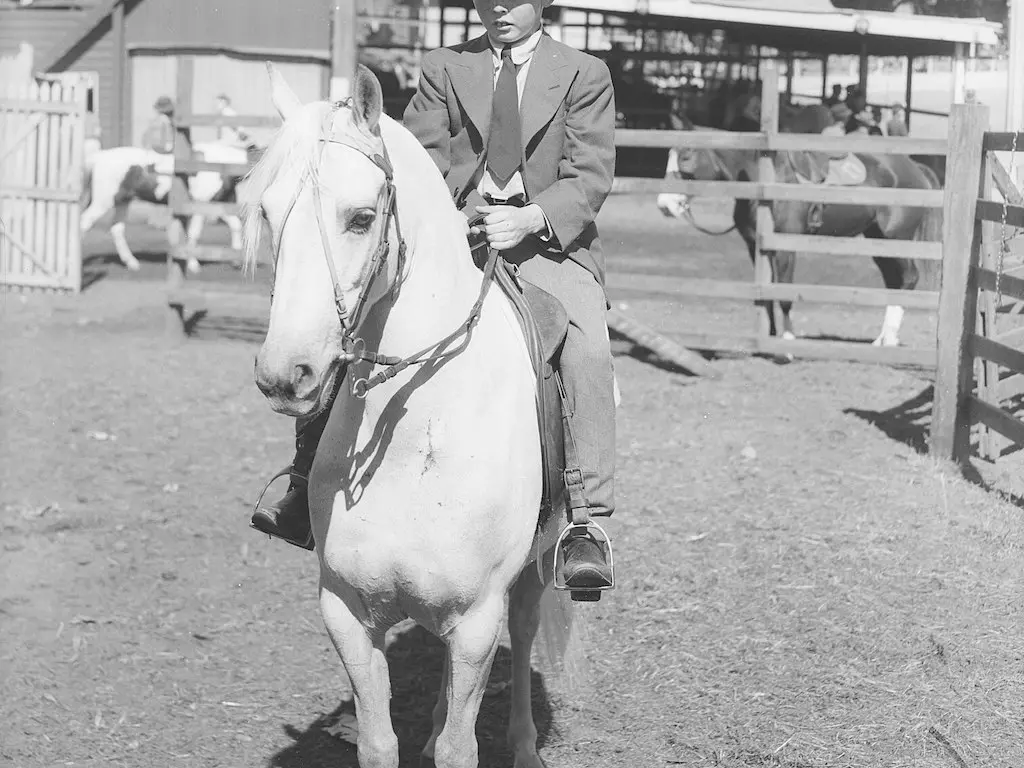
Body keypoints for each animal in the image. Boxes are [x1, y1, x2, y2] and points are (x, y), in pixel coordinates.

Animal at [78, 143, 248, 274]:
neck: (220, 163)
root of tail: (100, 156)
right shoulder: (202, 204)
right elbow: (194, 234)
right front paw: (193, 265)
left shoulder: (218, 203)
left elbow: (236, 226)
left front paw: (236, 261)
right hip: (103, 202)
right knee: (84, 223)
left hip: (122, 201)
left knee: (117, 229)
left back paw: (132, 263)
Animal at [244, 66, 573, 768]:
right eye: (267, 212)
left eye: (362, 217)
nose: (285, 374)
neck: (412, 434)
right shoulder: (345, 611)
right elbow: (378, 742)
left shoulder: (477, 620)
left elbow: (459, 749)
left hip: (535, 565)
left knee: (526, 632)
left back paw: (525, 746)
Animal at [663, 107, 942, 348]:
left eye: (686, 155)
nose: (665, 203)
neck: (767, 180)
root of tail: (915, 168)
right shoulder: (756, 247)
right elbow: (766, 294)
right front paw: (768, 338)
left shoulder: (785, 246)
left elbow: (785, 293)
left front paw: (787, 341)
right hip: (879, 242)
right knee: (894, 281)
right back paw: (883, 339)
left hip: (898, 238)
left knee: (909, 278)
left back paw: (889, 338)